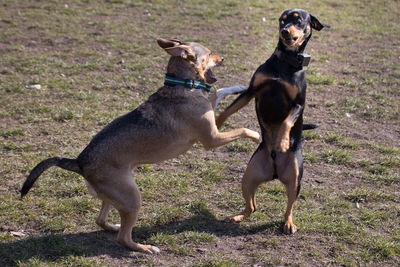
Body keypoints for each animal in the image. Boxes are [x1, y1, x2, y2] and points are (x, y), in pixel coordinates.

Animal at [21, 38, 260, 255]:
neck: (182, 85)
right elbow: (242, 129)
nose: (223, 58)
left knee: (101, 220)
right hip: (132, 198)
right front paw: (258, 136)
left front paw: (239, 87)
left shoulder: (211, 117)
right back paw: (145, 248)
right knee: (123, 239)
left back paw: (113, 226)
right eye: (209, 53)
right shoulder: (212, 138)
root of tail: (79, 162)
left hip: (116, 195)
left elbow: (219, 92)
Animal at [217, 8, 330, 234]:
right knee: (252, 207)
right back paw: (236, 217)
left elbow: (287, 122)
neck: (286, 62)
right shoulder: (251, 91)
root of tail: (275, 172)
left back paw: (288, 224)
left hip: (295, 179)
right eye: (282, 20)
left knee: (289, 207)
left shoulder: (298, 104)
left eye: (299, 20)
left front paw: (284, 141)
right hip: (248, 178)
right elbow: (228, 109)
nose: (285, 31)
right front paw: (217, 123)